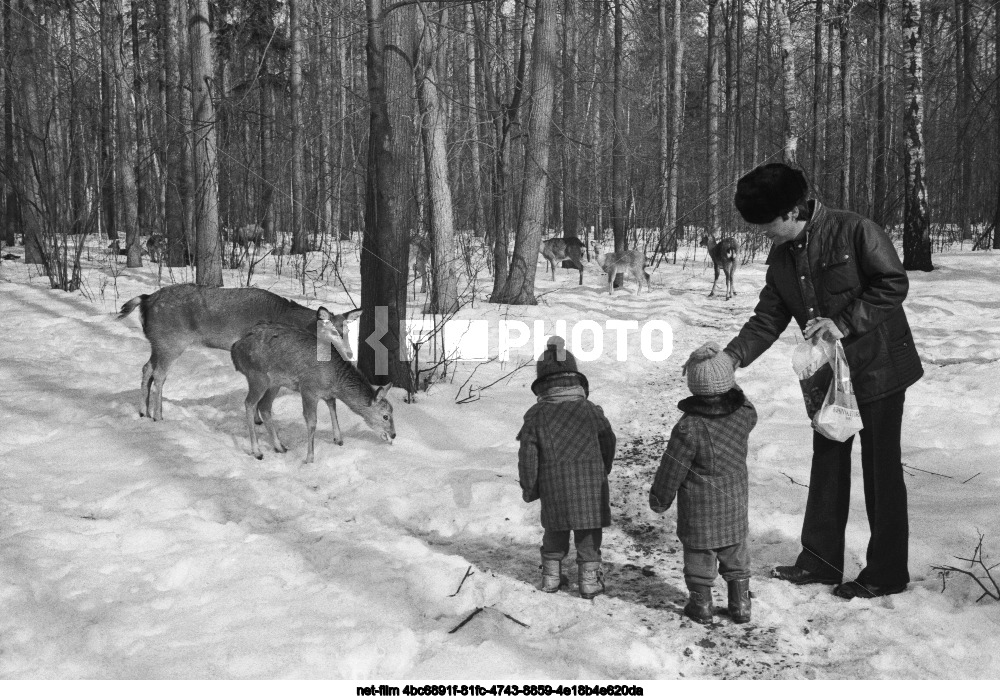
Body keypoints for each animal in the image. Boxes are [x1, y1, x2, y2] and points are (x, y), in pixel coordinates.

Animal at [117, 284, 360, 422]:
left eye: (348, 330)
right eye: (332, 332)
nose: (349, 354)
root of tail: (146, 299)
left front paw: (258, 419)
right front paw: (258, 419)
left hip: (156, 342)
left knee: (146, 368)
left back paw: (143, 412)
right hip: (171, 341)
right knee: (159, 374)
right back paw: (158, 415)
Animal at [230, 308, 394, 462]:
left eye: (393, 412)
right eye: (385, 416)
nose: (394, 434)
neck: (335, 380)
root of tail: (235, 349)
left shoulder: (327, 394)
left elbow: (333, 408)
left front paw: (338, 439)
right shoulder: (308, 389)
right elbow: (312, 422)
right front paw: (309, 458)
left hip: (275, 382)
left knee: (264, 406)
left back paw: (279, 447)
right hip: (258, 376)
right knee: (250, 403)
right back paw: (257, 451)